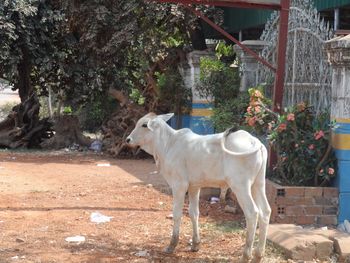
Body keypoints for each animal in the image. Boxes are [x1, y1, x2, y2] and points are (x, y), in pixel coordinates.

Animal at [126, 112, 270, 262]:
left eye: (144, 124)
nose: (128, 139)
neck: (168, 144)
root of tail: (255, 141)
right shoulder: (194, 187)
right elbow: (194, 213)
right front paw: (195, 244)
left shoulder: (179, 185)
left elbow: (177, 214)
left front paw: (172, 245)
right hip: (258, 184)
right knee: (265, 211)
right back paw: (258, 255)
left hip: (240, 186)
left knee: (252, 213)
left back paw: (246, 256)